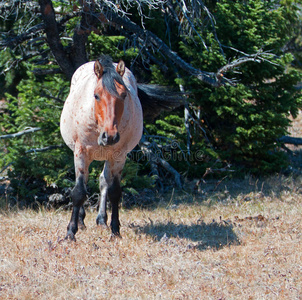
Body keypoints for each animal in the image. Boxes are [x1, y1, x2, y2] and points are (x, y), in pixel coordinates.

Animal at [60, 54, 180, 241]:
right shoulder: (81, 153)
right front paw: (71, 232)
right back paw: (81, 221)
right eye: (96, 95)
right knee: (86, 182)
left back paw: (102, 220)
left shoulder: (118, 156)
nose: (109, 136)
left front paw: (115, 230)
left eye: (124, 95)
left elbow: (114, 192)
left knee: (103, 180)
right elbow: (79, 191)